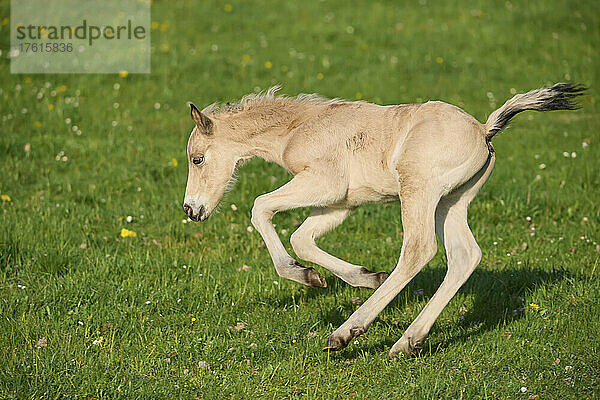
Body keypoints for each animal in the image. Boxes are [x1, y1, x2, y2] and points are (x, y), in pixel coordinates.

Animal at [184, 83, 584, 356]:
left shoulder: (324, 183)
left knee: (419, 251)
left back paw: (347, 333)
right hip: (451, 203)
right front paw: (348, 276)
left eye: (197, 159)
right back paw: (407, 342)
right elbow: (302, 239)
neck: (297, 128)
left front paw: (301, 274)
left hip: (418, 191)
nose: (191, 210)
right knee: (464, 255)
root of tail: (484, 130)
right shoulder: (340, 202)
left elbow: (260, 207)